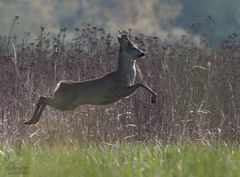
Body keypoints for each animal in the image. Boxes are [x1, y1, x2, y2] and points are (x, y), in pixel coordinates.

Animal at [23, 31, 157, 124]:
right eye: (133, 47)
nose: (143, 53)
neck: (125, 75)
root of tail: (59, 84)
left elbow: (142, 82)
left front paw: (154, 97)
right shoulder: (121, 91)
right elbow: (141, 83)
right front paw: (153, 98)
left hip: (65, 104)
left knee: (43, 98)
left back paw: (31, 121)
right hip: (64, 103)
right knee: (43, 98)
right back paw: (31, 121)